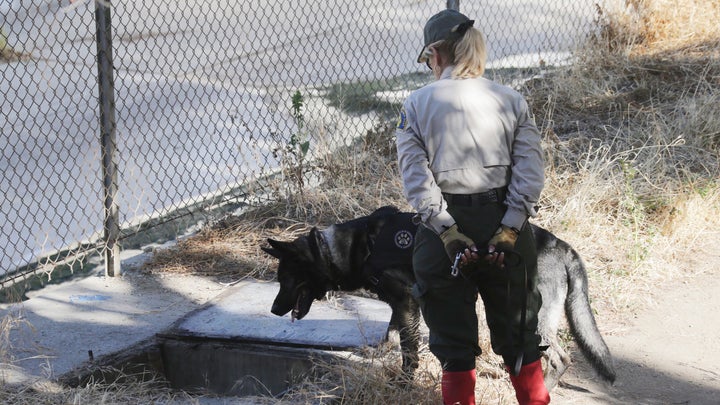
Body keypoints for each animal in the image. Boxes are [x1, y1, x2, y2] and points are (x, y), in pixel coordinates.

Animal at [262, 205, 616, 388]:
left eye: (286, 279)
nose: (275, 310)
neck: (352, 247)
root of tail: (561, 246)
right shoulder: (402, 306)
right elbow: (392, 335)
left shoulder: (407, 304)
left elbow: (409, 351)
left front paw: (405, 383)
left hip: (530, 318)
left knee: (561, 358)